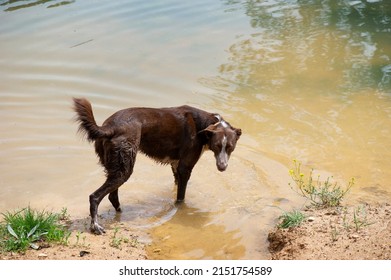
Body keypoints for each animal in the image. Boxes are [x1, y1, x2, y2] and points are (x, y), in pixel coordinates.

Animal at [72, 98, 240, 234]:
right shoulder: (185, 168)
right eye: (217, 146)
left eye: (230, 147)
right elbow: (181, 198)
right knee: (95, 197)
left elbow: (176, 186)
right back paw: (95, 226)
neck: (204, 126)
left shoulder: (176, 166)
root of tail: (109, 127)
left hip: (117, 168)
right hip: (124, 168)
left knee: (112, 196)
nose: (222, 167)